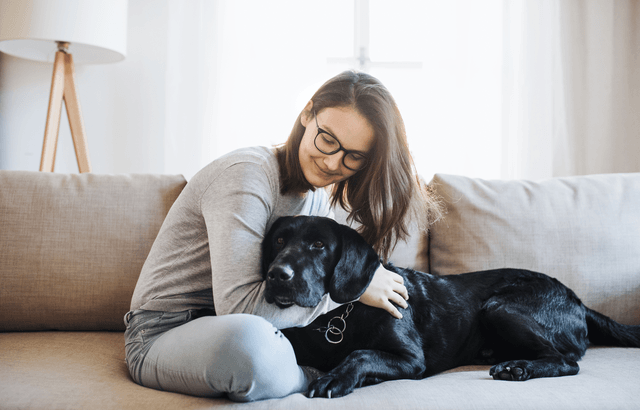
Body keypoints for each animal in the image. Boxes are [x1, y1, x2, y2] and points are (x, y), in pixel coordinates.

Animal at [262, 216, 640, 398]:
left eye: (319, 245)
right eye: (279, 240)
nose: (276, 274)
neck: (337, 318)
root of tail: (578, 299)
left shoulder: (411, 358)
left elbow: (360, 354)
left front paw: (336, 378)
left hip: (499, 307)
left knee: (567, 361)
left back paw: (518, 367)